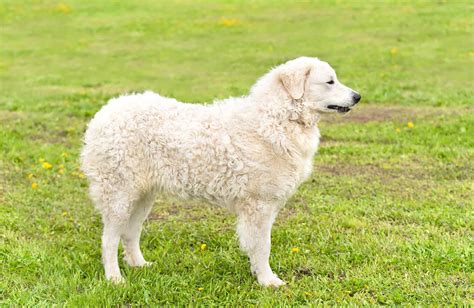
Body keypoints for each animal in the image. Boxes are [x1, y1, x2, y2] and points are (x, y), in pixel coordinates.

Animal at [81, 56, 362, 288]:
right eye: (329, 81)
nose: (358, 96)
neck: (279, 118)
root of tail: (106, 111)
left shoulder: (267, 205)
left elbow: (258, 246)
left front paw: (259, 275)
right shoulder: (259, 205)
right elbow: (263, 246)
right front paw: (268, 281)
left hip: (142, 196)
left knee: (130, 233)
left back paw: (139, 265)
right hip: (119, 195)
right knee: (109, 239)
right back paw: (115, 278)